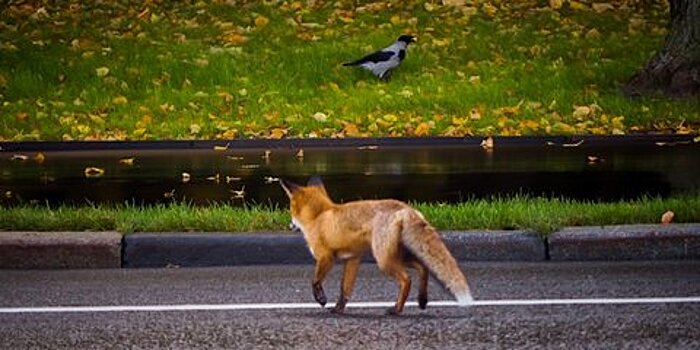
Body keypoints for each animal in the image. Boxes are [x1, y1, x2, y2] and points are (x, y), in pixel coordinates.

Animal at [282, 175, 474, 314]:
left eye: (290, 209)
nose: (290, 226)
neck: (319, 216)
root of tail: (406, 208)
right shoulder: (352, 259)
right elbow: (345, 289)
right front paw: (338, 309)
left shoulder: (326, 257)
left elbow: (315, 281)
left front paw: (321, 299)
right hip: (397, 255)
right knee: (423, 268)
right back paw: (422, 300)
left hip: (383, 260)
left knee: (407, 279)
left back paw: (397, 310)